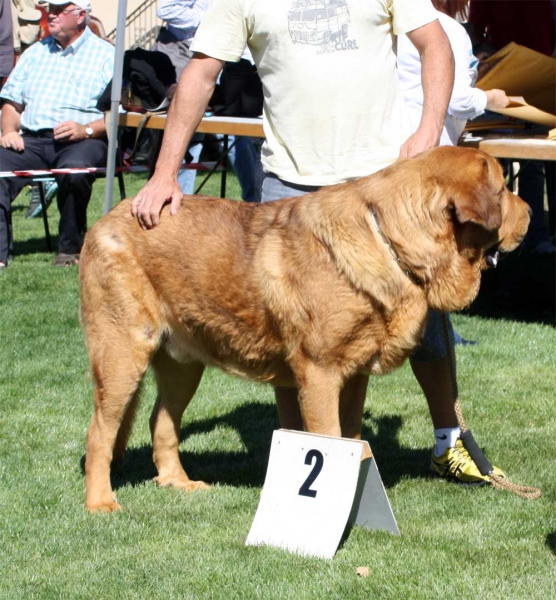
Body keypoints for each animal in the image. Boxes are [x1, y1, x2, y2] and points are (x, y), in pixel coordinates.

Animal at [79, 145, 528, 510]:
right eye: (503, 189)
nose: (530, 210)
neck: (390, 240)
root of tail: (109, 218)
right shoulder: (320, 375)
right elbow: (329, 437)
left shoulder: (355, 375)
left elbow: (352, 439)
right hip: (122, 356)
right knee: (100, 432)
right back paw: (101, 502)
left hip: (183, 365)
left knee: (162, 422)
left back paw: (177, 482)